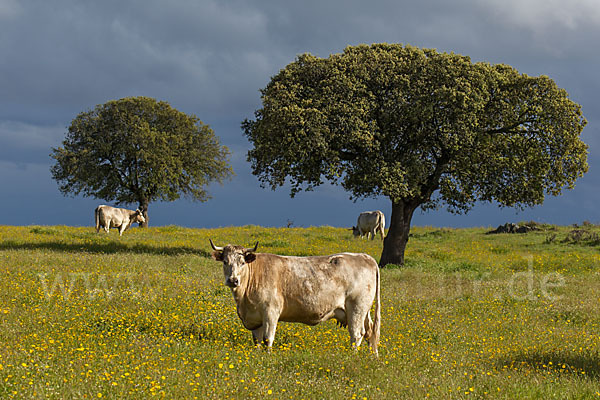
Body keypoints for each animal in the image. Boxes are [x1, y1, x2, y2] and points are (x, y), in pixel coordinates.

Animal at [210, 239, 380, 354]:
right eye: (225, 261)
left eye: (243, 262)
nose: (233, 280)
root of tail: (365, 256)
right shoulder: (255, 317)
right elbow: (257, 340)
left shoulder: (271, 311)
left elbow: (268, 338)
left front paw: (267, 356)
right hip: (364, 310)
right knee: (370, 332)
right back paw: (372, 357)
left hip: (356, 308)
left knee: (357, 334)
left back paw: (352, 356)